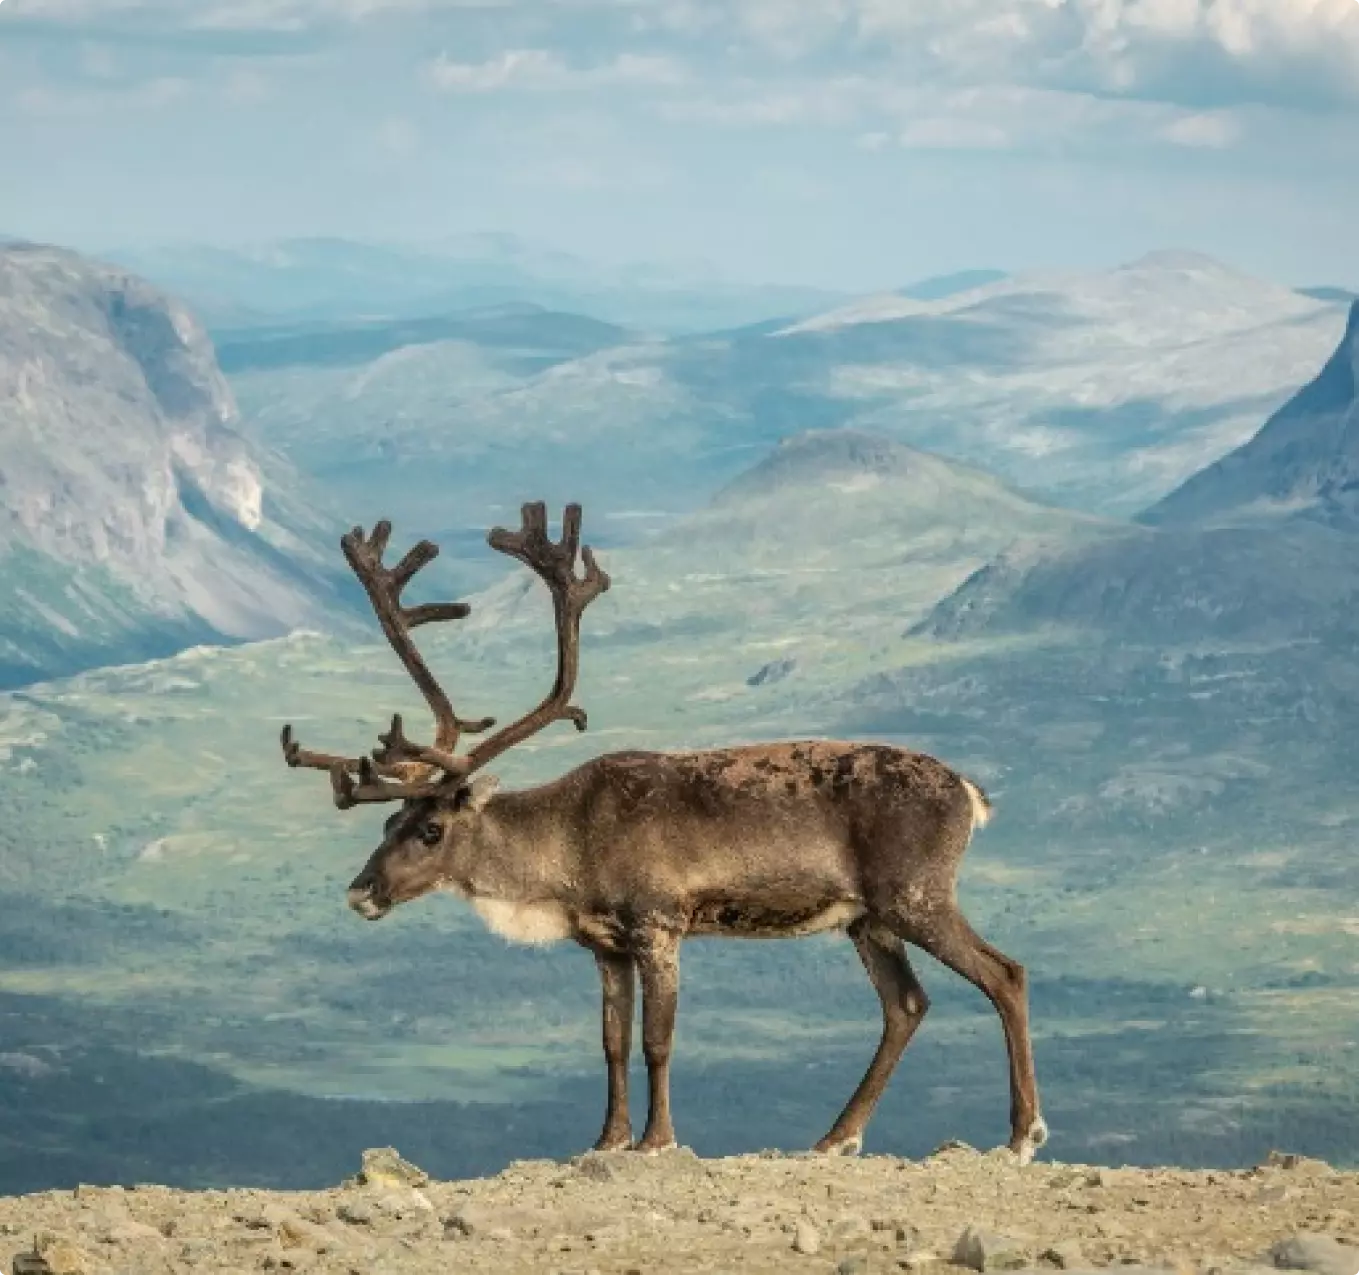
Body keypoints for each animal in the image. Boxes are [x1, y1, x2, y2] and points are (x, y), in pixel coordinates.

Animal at [279, 502, 1048, 1163]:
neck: (567, 845)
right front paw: (606, 1138)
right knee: (906, 1004)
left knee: (1003, 973)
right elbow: (611, 1043)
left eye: (432, 828)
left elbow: (657, 1040)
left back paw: (1020, 1135)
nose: (360, 891)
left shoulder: (659, 924)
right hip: (867, 919)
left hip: (915, 895)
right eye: (389, 819)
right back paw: (836, 1137)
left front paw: (657, 1139)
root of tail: (969, 792)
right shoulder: (604, 946)